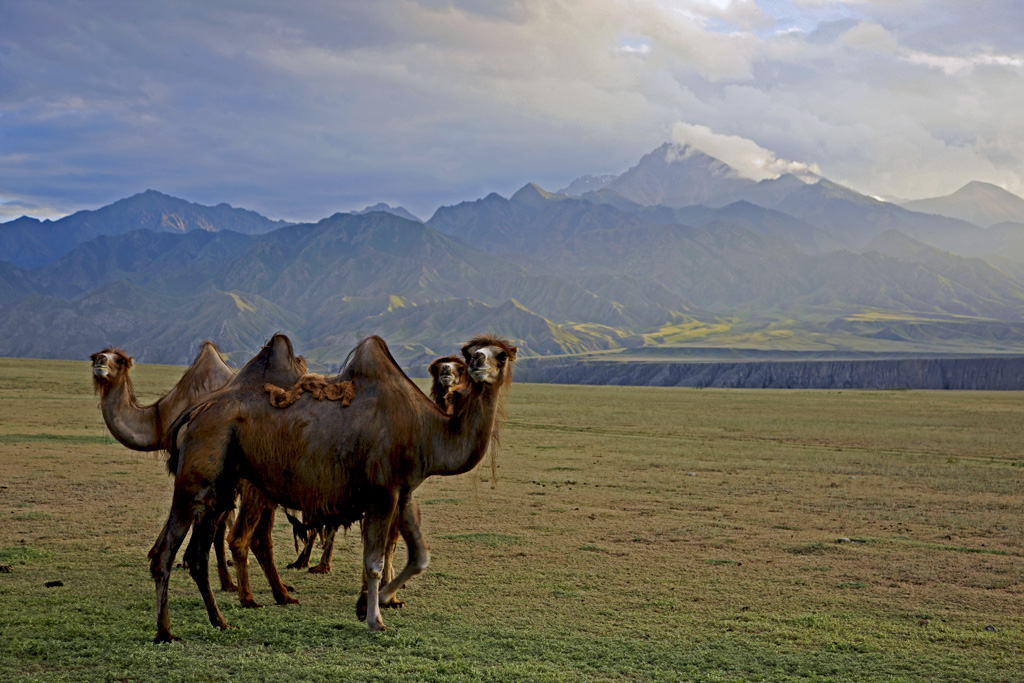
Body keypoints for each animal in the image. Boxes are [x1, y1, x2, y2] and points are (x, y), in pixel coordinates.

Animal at [90, 342, 299, 610]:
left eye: (120, 361)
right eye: (96, 356)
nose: (100, 363)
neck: (160, 419)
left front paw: (226, 582)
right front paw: (224, 581)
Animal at [149, 331, 520, 643]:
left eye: (501, 355)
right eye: (470, 353)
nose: (478, 363)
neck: (427, 429)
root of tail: (195, 412)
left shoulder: (403, 492)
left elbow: (419, 556)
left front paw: (372, 603)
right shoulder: (383, 490)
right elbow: (374, 561)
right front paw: (375, 619)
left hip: (220, 486)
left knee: (197, 553)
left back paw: (221, 621)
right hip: (196, 477)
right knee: (166, 550)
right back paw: (166, 632)